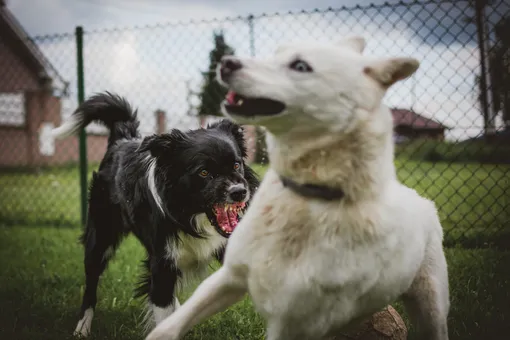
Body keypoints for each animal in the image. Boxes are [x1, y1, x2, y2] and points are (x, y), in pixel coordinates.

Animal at [52, 91, 258, 336]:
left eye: (236, 165)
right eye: (203, 172)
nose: (239, 192)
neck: (190, 215)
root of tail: (122, 139)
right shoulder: (162, 265)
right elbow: (161, 309)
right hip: (100, 238)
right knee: (91, 286)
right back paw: (82, 328)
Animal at [145, 36, 448, 340]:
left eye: (300, 65)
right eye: (204, 172)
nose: (227, 62)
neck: (302, 201)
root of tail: (421, 199)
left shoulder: (295, 320)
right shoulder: (229, 277)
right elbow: (168, 325)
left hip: (431, 304)